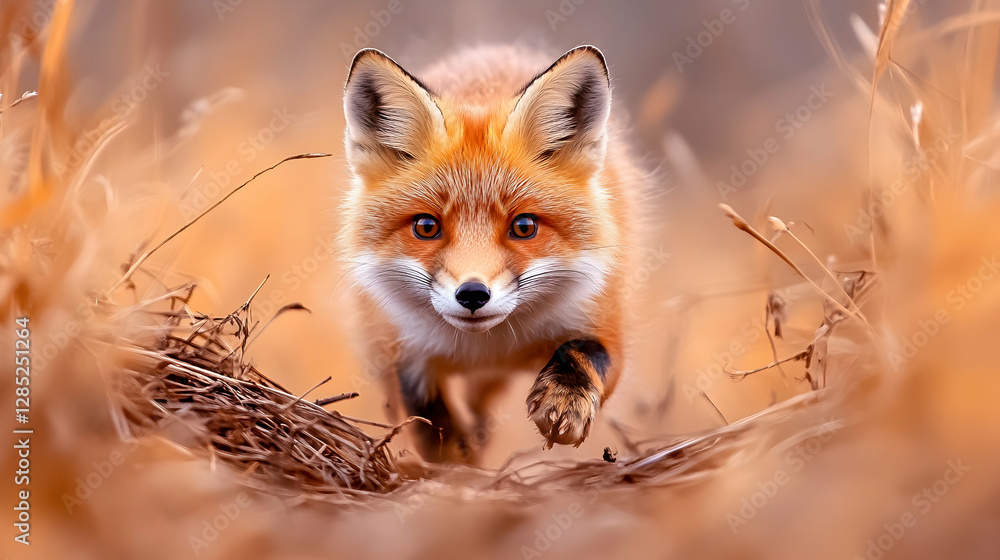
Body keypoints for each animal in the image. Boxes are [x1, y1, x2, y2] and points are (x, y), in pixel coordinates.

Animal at [339, 44, 648, 462]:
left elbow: (586, 353)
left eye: (524, 226)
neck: (488, 348)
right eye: (426, 227)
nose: (472, 295)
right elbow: (432, 425)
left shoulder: (602, 317)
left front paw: (564, 401)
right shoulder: (403, 350)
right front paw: (457, 468)